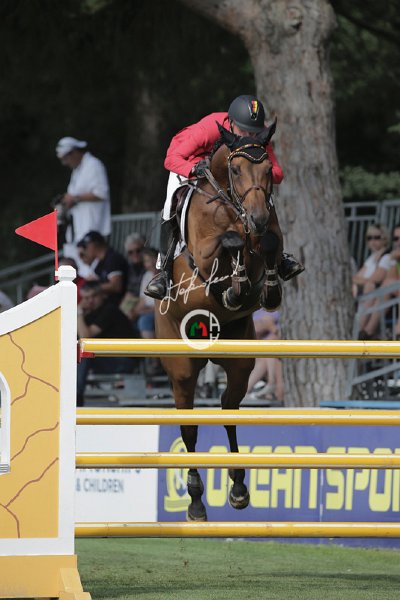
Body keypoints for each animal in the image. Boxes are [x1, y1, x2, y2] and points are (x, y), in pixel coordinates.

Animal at [155, 121, 282, 521]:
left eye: (268, 169)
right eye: (237, 169)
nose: (257, 217)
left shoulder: (267, 236)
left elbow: (269, 244)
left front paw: (264, 288)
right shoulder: (202, 260)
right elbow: (227, 242)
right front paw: (234, 282)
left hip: (240, 360)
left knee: (228, 409)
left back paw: (239, 487)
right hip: (182, 369)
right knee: (190, 427)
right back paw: (196, 502)